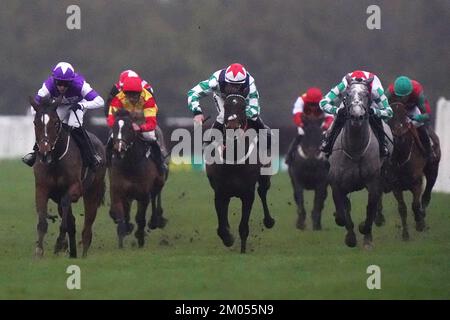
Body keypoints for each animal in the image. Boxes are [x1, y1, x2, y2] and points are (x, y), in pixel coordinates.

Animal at [29, 96, 106, 258]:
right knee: (72, 221)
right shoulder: (41, 188)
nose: (44, 153)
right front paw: (39, 250)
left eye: (55, 122)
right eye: (35, 122)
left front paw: (59, 243)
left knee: (87, 224)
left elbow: (66, 210)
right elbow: (43, 220)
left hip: (93, 191)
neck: (55, 160)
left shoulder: (75, 188)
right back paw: (73, 253)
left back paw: (83, 253)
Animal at [108, 109, 167, 249]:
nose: (119, 148)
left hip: (158, 183)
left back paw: (155, 221)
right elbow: (121, 217)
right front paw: (122, 239)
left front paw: (140, 239)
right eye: (114, 127)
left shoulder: (143, 195)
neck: (130, 165)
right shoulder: (118, 192)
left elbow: (140, 218)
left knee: (155, 198)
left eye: (130, 128)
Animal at [204, 94, 274, 254]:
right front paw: (229, 238)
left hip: (264, 176)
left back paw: (269, 221)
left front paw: (242, 252)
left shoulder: (248, 194)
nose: (232, 127)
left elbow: (243, 227)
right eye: (226, 106)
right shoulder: (220, 192)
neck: (234, 161)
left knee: (263, 191)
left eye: (243, 107)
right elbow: (221, 228)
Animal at [326, 77, 394, 248]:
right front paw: (350, 237)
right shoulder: (337, 184)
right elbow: (343, 214)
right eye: (347, 94)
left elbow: (370, 209)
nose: (357, 115)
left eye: (366, 95)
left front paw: (365, 232)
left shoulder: (374, 183)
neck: (355, 149)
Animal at [378, 102, 442, 240]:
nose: (398, 137)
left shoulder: (416, 183)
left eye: (405, 120)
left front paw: (419, 223)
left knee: (426, 195)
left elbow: (415, 205)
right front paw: (405, 235)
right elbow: (402, 208)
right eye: (390, 120)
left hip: (433, 170)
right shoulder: (396, 185)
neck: (402, 157)